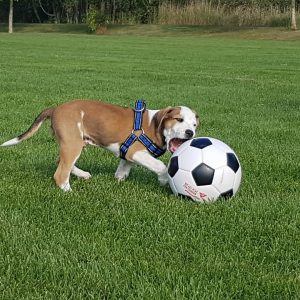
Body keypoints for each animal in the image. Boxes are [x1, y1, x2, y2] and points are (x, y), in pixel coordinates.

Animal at [2, 99, 200, 191]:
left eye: (194, 125)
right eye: (179, 120)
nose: (190, 133)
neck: (153, 125)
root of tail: (56, 108)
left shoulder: (127, 155)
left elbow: (122, 171)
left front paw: (119, 180)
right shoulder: (135, 152)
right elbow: (161, 165)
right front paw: (164, 179)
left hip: (73, 143)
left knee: (62, 162)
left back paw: (82, 174)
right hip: (72, 143)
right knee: (60, 172)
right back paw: (68, 191)